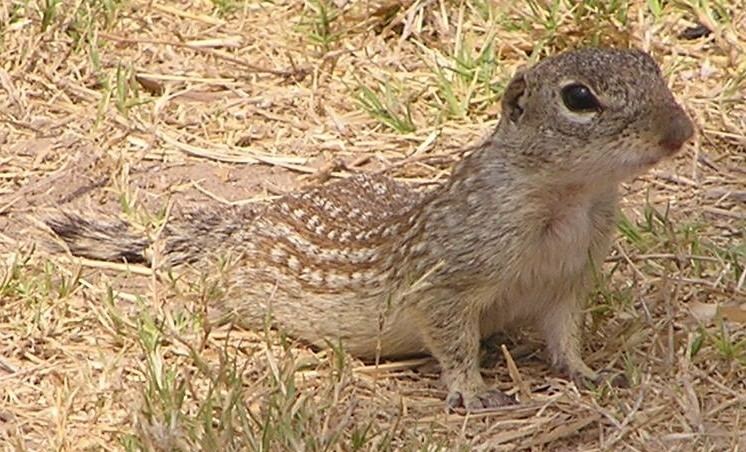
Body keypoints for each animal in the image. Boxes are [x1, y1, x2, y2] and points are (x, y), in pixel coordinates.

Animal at [45, 47, 692, 412]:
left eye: (654, 67)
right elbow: (453, 338)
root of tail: (246, 219)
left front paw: (586, 371)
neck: (572, 200)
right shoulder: (447, 281)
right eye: (579, 98)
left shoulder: (569, 279)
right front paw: (473, 390)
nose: (680, 132)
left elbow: (564, 334)